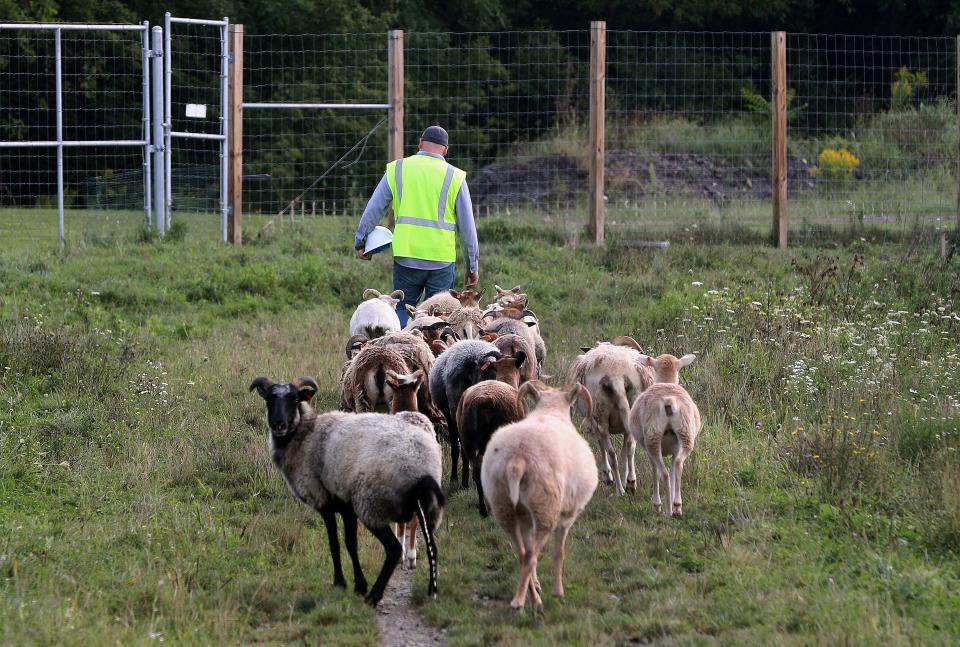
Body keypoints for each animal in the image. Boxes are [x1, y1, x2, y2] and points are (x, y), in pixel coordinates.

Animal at [248, 378, 442, 604]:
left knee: (394, 549)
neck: (306, 435)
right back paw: (431, 591)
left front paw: (342, 583)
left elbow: (336, 543)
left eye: (294, 399)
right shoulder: (346, 505)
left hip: (372, 504)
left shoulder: (325, 501)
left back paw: (374, 596)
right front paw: (358, 584)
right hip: (423, 507)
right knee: (432, 546)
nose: (279, 425)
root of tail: (421, 466)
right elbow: (351, 543)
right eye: (269, 399)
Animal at [484, 382, 596, 616]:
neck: (550, 411)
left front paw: (537, 585)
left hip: (504, 505)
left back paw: (531, 597)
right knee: (530, 556)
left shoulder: (527, 520)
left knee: (522, 554)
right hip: (546, 507)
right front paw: (558, 592)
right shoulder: (567, 516)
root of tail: (517, 460)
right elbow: (558, 553)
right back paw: (522, 602)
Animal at [628, 354, 700, 516]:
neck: (667, 381)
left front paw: (656, 505)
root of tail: (669, 400)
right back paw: (677, 507)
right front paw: (674, 502)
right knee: (678, 464)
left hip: (652, 438)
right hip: (686, 434)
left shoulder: (647, 448)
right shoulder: (674, 450)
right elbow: (674, 468)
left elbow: (654, 470)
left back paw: (666, 510)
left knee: (663, 473)